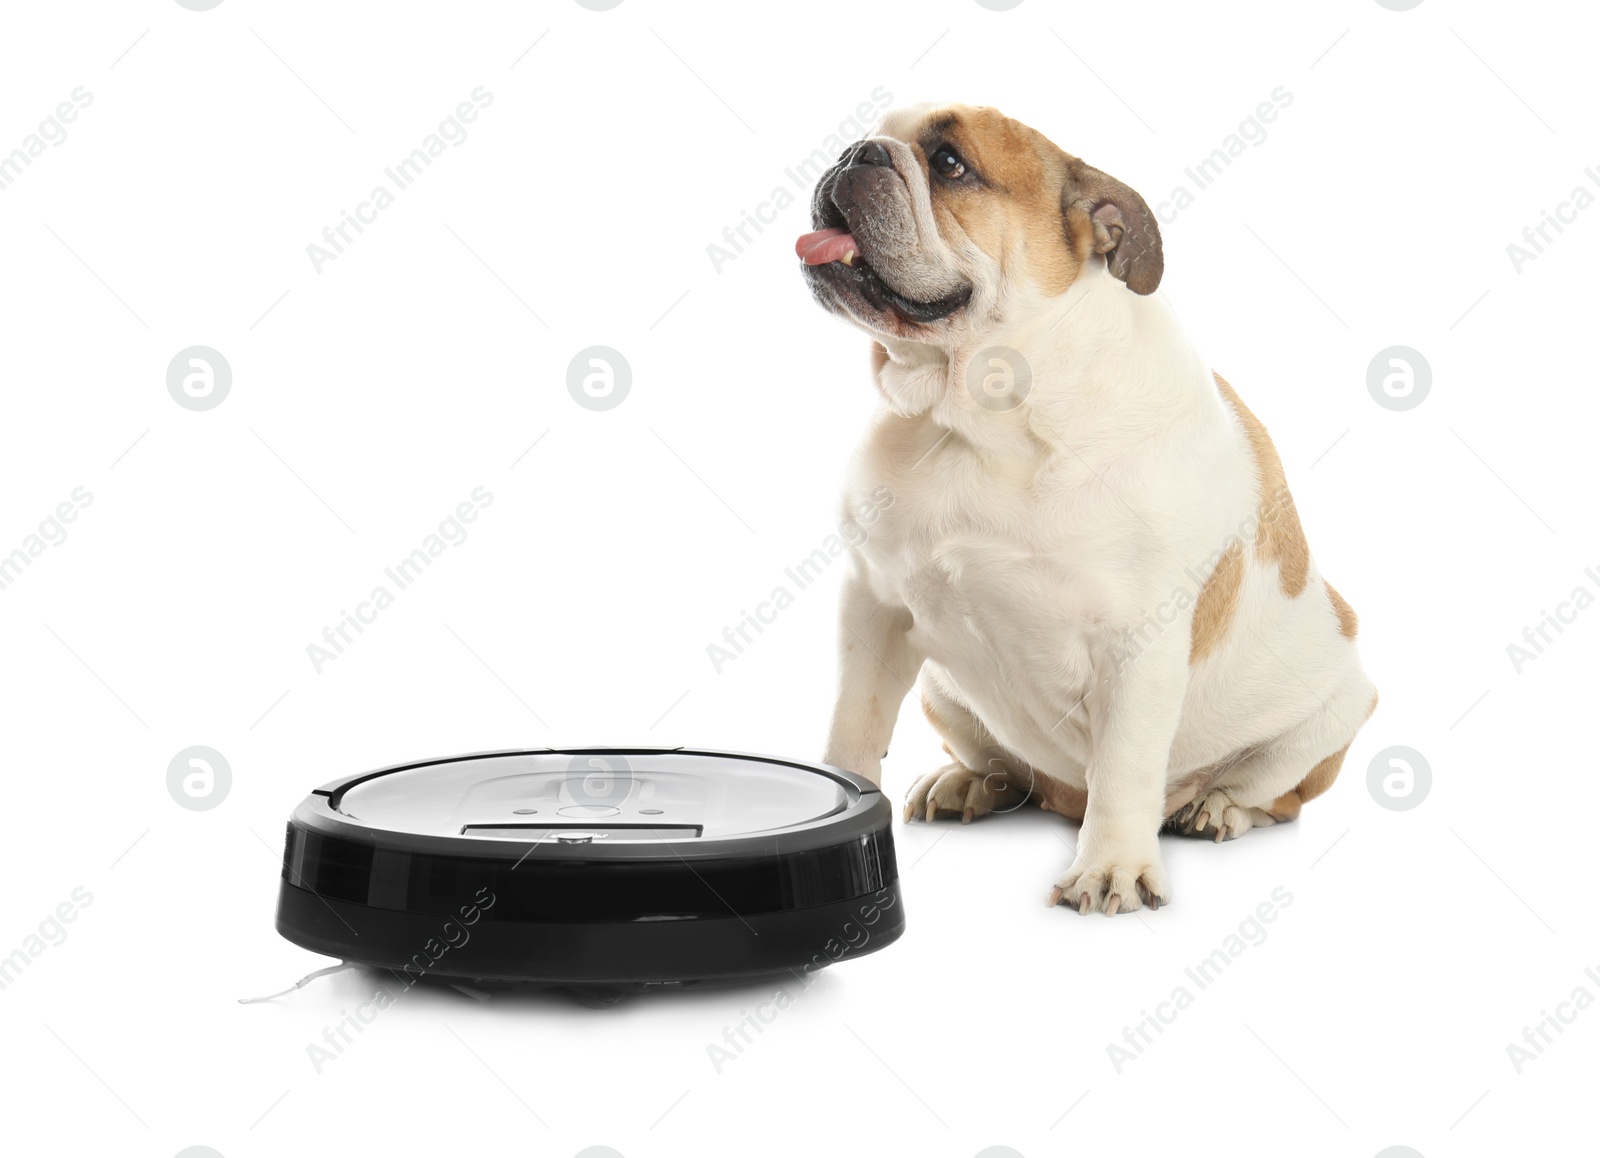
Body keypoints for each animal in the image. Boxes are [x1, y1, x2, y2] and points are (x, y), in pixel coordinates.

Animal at [800, 103, 1376, 921]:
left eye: (949, 164)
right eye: (871, 133)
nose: (857, 153)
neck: (981, 414)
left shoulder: (1137, 646)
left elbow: (1126, 767)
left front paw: (1112, 869)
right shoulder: (873, 611)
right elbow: (854, 726)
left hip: (1333, 713)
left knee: (1273, 792)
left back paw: (1218, 806)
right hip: (946, 694)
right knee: (1012, 770)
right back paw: (969, 781)